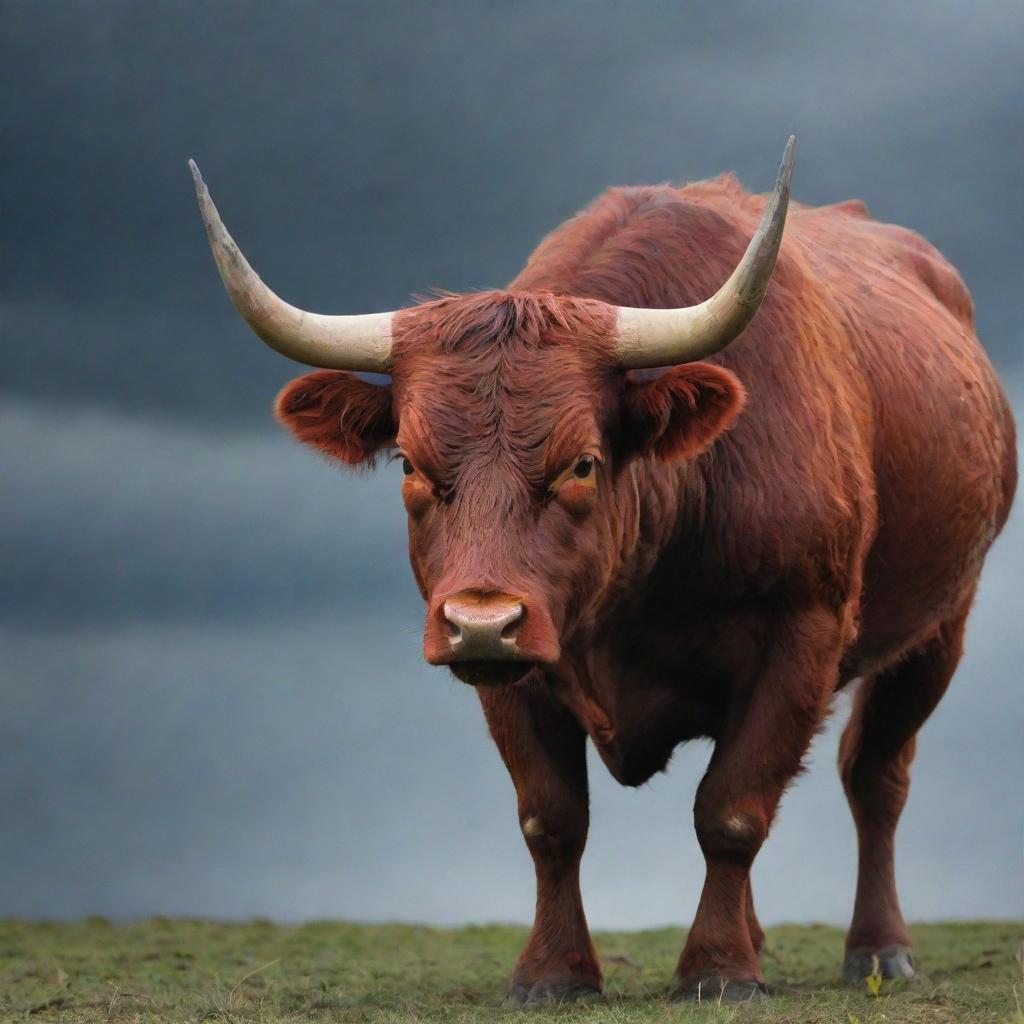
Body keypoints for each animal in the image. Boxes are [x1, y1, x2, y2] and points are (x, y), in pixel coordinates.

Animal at [190, 140, 1015, 1003]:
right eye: (411, 464)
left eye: (581, 463)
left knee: (876, 778)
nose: (479, 623)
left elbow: (732, 809)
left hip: (938, 631)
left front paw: (719, 969)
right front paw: (554, 973)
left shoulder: (803, 632)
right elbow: (552, 819)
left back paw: (879, 949)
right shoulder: (516, 669)